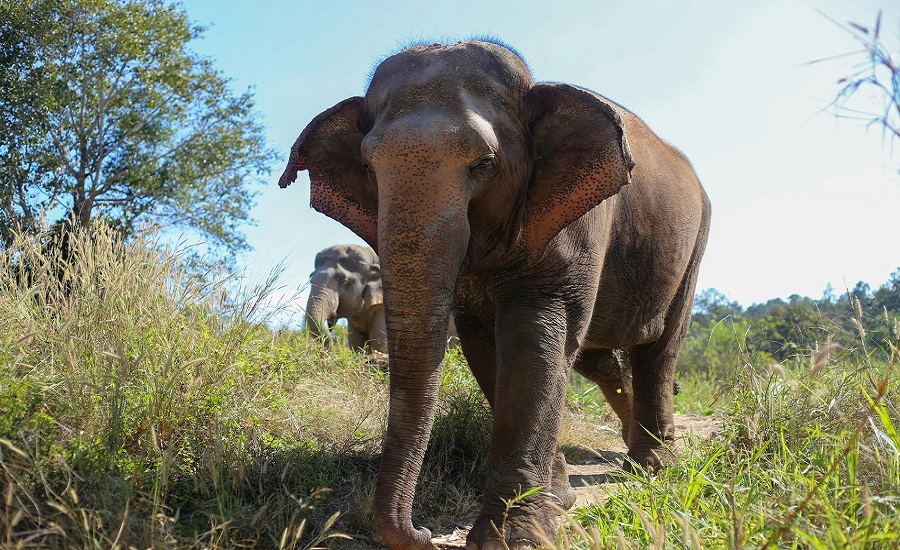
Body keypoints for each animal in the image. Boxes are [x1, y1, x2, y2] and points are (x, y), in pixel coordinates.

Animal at [279, 40, 711, 550]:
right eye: (368, 168)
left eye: (484, 164)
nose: (424, 531)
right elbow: (486, 349)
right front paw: (556, 499)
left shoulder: (579, 220)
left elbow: (533, 340)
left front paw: (512, 537)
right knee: (599, 358)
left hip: (694, 243)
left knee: (659, 349)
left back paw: (652, 466)